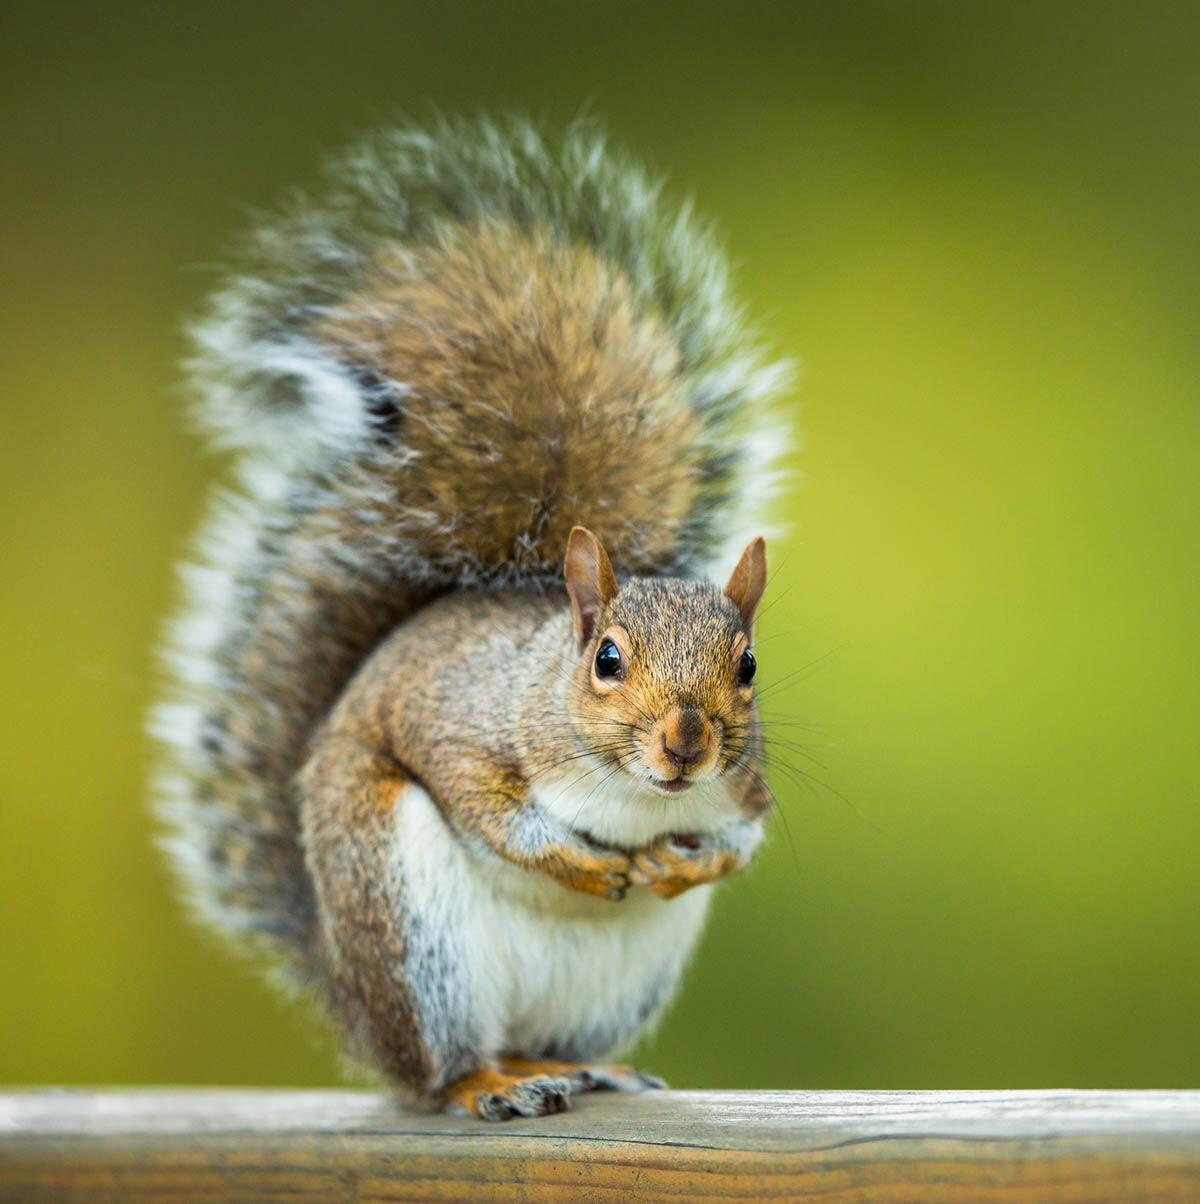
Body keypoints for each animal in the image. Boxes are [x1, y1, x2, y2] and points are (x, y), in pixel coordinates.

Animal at [154, 114, 789, 1117]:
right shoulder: (461, 726)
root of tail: (346, 995)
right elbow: (490, 810)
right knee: (439, 1068)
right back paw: (487, 1084)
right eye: (607, 660)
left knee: (543, 1042)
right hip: (409, 927)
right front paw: (585, 863)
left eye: (749, 667)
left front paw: (682, 863)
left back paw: (578, 1069)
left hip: (613, 984)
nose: (687, 745)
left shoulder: (746, 786)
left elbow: (742, 839)